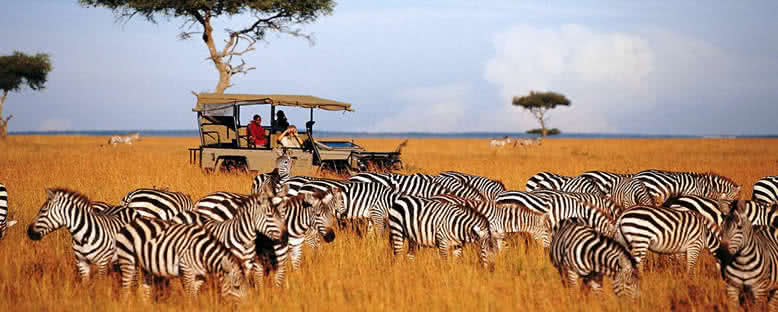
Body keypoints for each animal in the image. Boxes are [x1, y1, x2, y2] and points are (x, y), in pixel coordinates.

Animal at [112, 217, 244, 300]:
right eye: (236, 287)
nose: (245, 307)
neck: (202, 253)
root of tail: (129, 224)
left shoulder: (199, 275)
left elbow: (194, 293)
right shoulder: (186, 270)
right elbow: (190, 295)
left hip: (145, 266)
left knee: (145, 289)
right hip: (127, 259)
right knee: (125, 288)